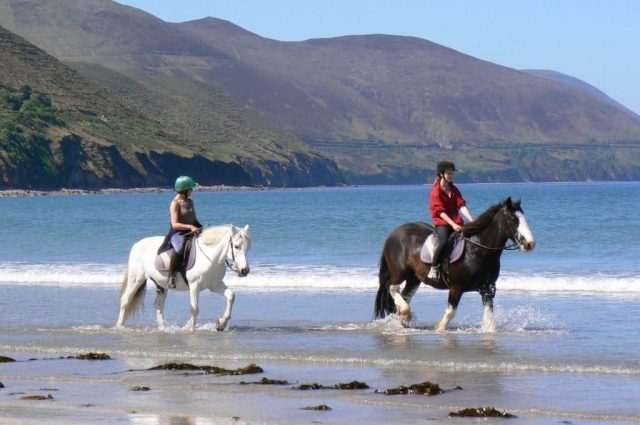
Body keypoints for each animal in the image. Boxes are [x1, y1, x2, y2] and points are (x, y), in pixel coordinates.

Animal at [116, 224, 251, 330]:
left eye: (248, 247)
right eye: (236, 246)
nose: (245, 270)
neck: (210, 257)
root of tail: (136, 245)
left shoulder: (215, 285)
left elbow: (231, 296)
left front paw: (221, 324)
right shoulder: (194, 285)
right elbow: (195, 308)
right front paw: (191, 328)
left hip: (161, 285)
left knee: (158, 305)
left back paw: (163, 328)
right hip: (136, 279)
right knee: (125, 300)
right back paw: (119, 326)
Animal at [376, 197, 536, 330]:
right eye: (513, 219)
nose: (530, 244)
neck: (477, 250)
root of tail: (393, 234)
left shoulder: (488, 289)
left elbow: (489, 317)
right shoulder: (456, 287)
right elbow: (450, 312)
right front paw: (439, 328)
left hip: (414, 278)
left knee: (404, 296)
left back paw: (403, 318)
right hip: (400, 272)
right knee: (392, 288)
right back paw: (405, 314)